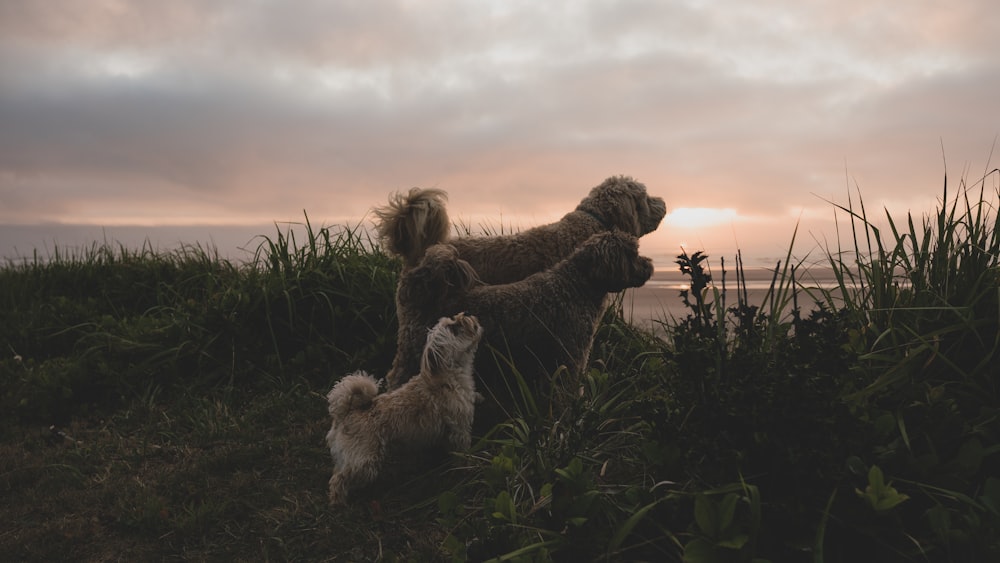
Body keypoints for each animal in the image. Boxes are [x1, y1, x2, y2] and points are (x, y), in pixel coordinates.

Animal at [326, 312, 482, 506]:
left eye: (454, 320)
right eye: (454, 328)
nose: (464, 314)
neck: (447, 376)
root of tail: (346, 412)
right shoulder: (459, 431)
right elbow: (462, 454)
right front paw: (467, 470)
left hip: (348, 458)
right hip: (365, 463)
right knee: (338, 480)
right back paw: (339, 503)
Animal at [384, 231, 656, 404]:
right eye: (632, 254)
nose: (650, 266)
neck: (576, 286)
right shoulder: (572, 354)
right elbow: (569, 390)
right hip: (414, 351)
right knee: (395, 379)